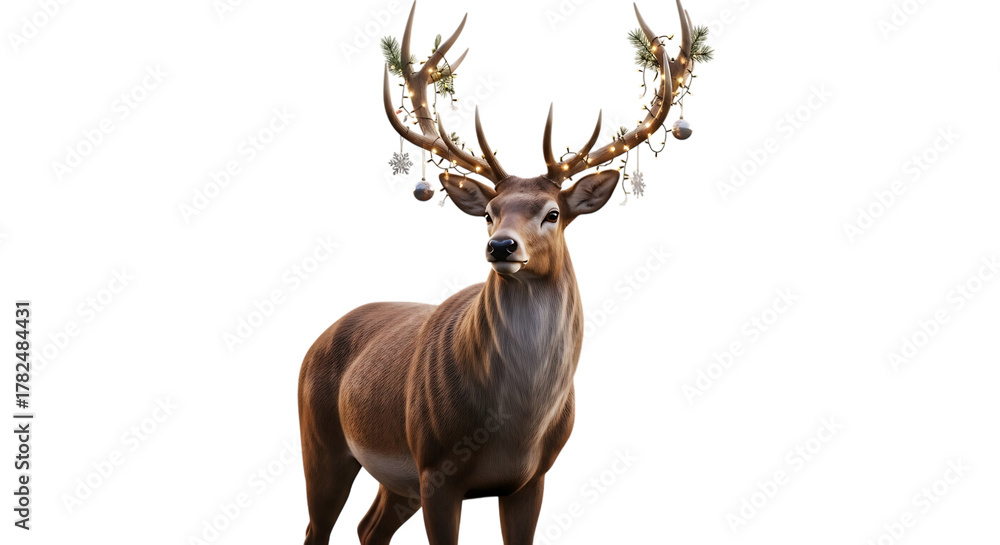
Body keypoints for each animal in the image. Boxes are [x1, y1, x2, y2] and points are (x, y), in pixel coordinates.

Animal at [298, 1, 696, 543]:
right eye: (489, 212)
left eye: (553, 213)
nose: (501, 245)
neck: (516, 426)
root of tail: (318, 338)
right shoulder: (435, 469)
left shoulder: (533, 478)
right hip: (321, 439)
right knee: (318, 527)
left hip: (394, 479)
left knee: (368, 527)